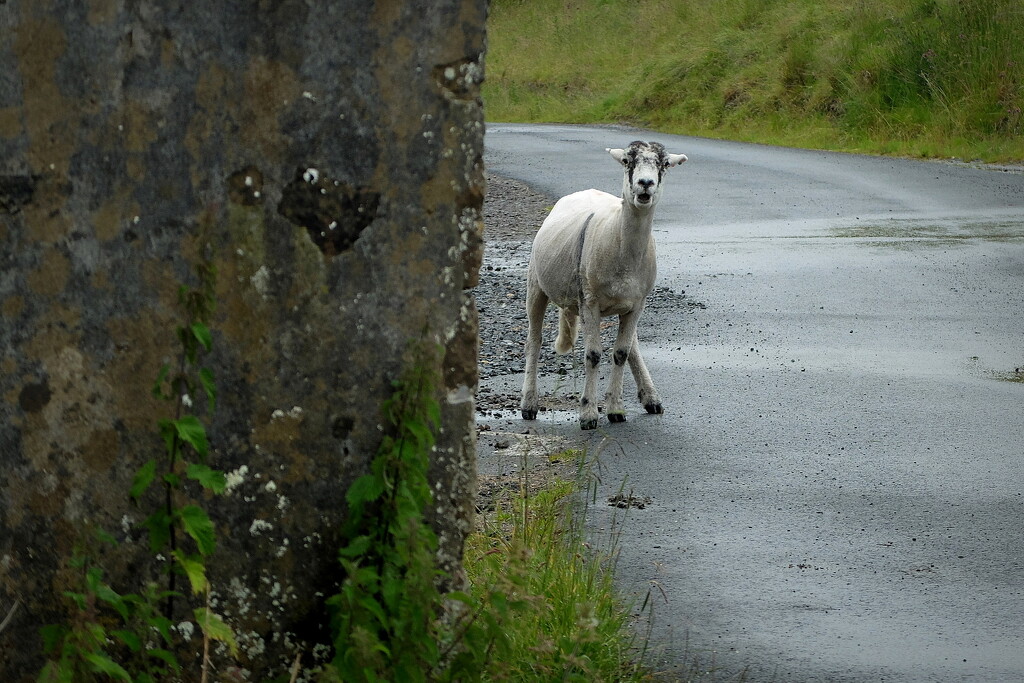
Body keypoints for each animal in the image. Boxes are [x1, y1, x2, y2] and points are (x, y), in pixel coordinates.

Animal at [520, 141, 688, 430]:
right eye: (626, 161)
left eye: (664, 164)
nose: (645, 183)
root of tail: (584, 192)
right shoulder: (590, 301)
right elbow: (593, 354)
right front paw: (588, 413)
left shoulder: (637, 304)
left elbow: (620, 352)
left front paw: (616, 409)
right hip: (536, 285)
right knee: (534, 341)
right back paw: (529, 404)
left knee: (632, 347)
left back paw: (650, 397)